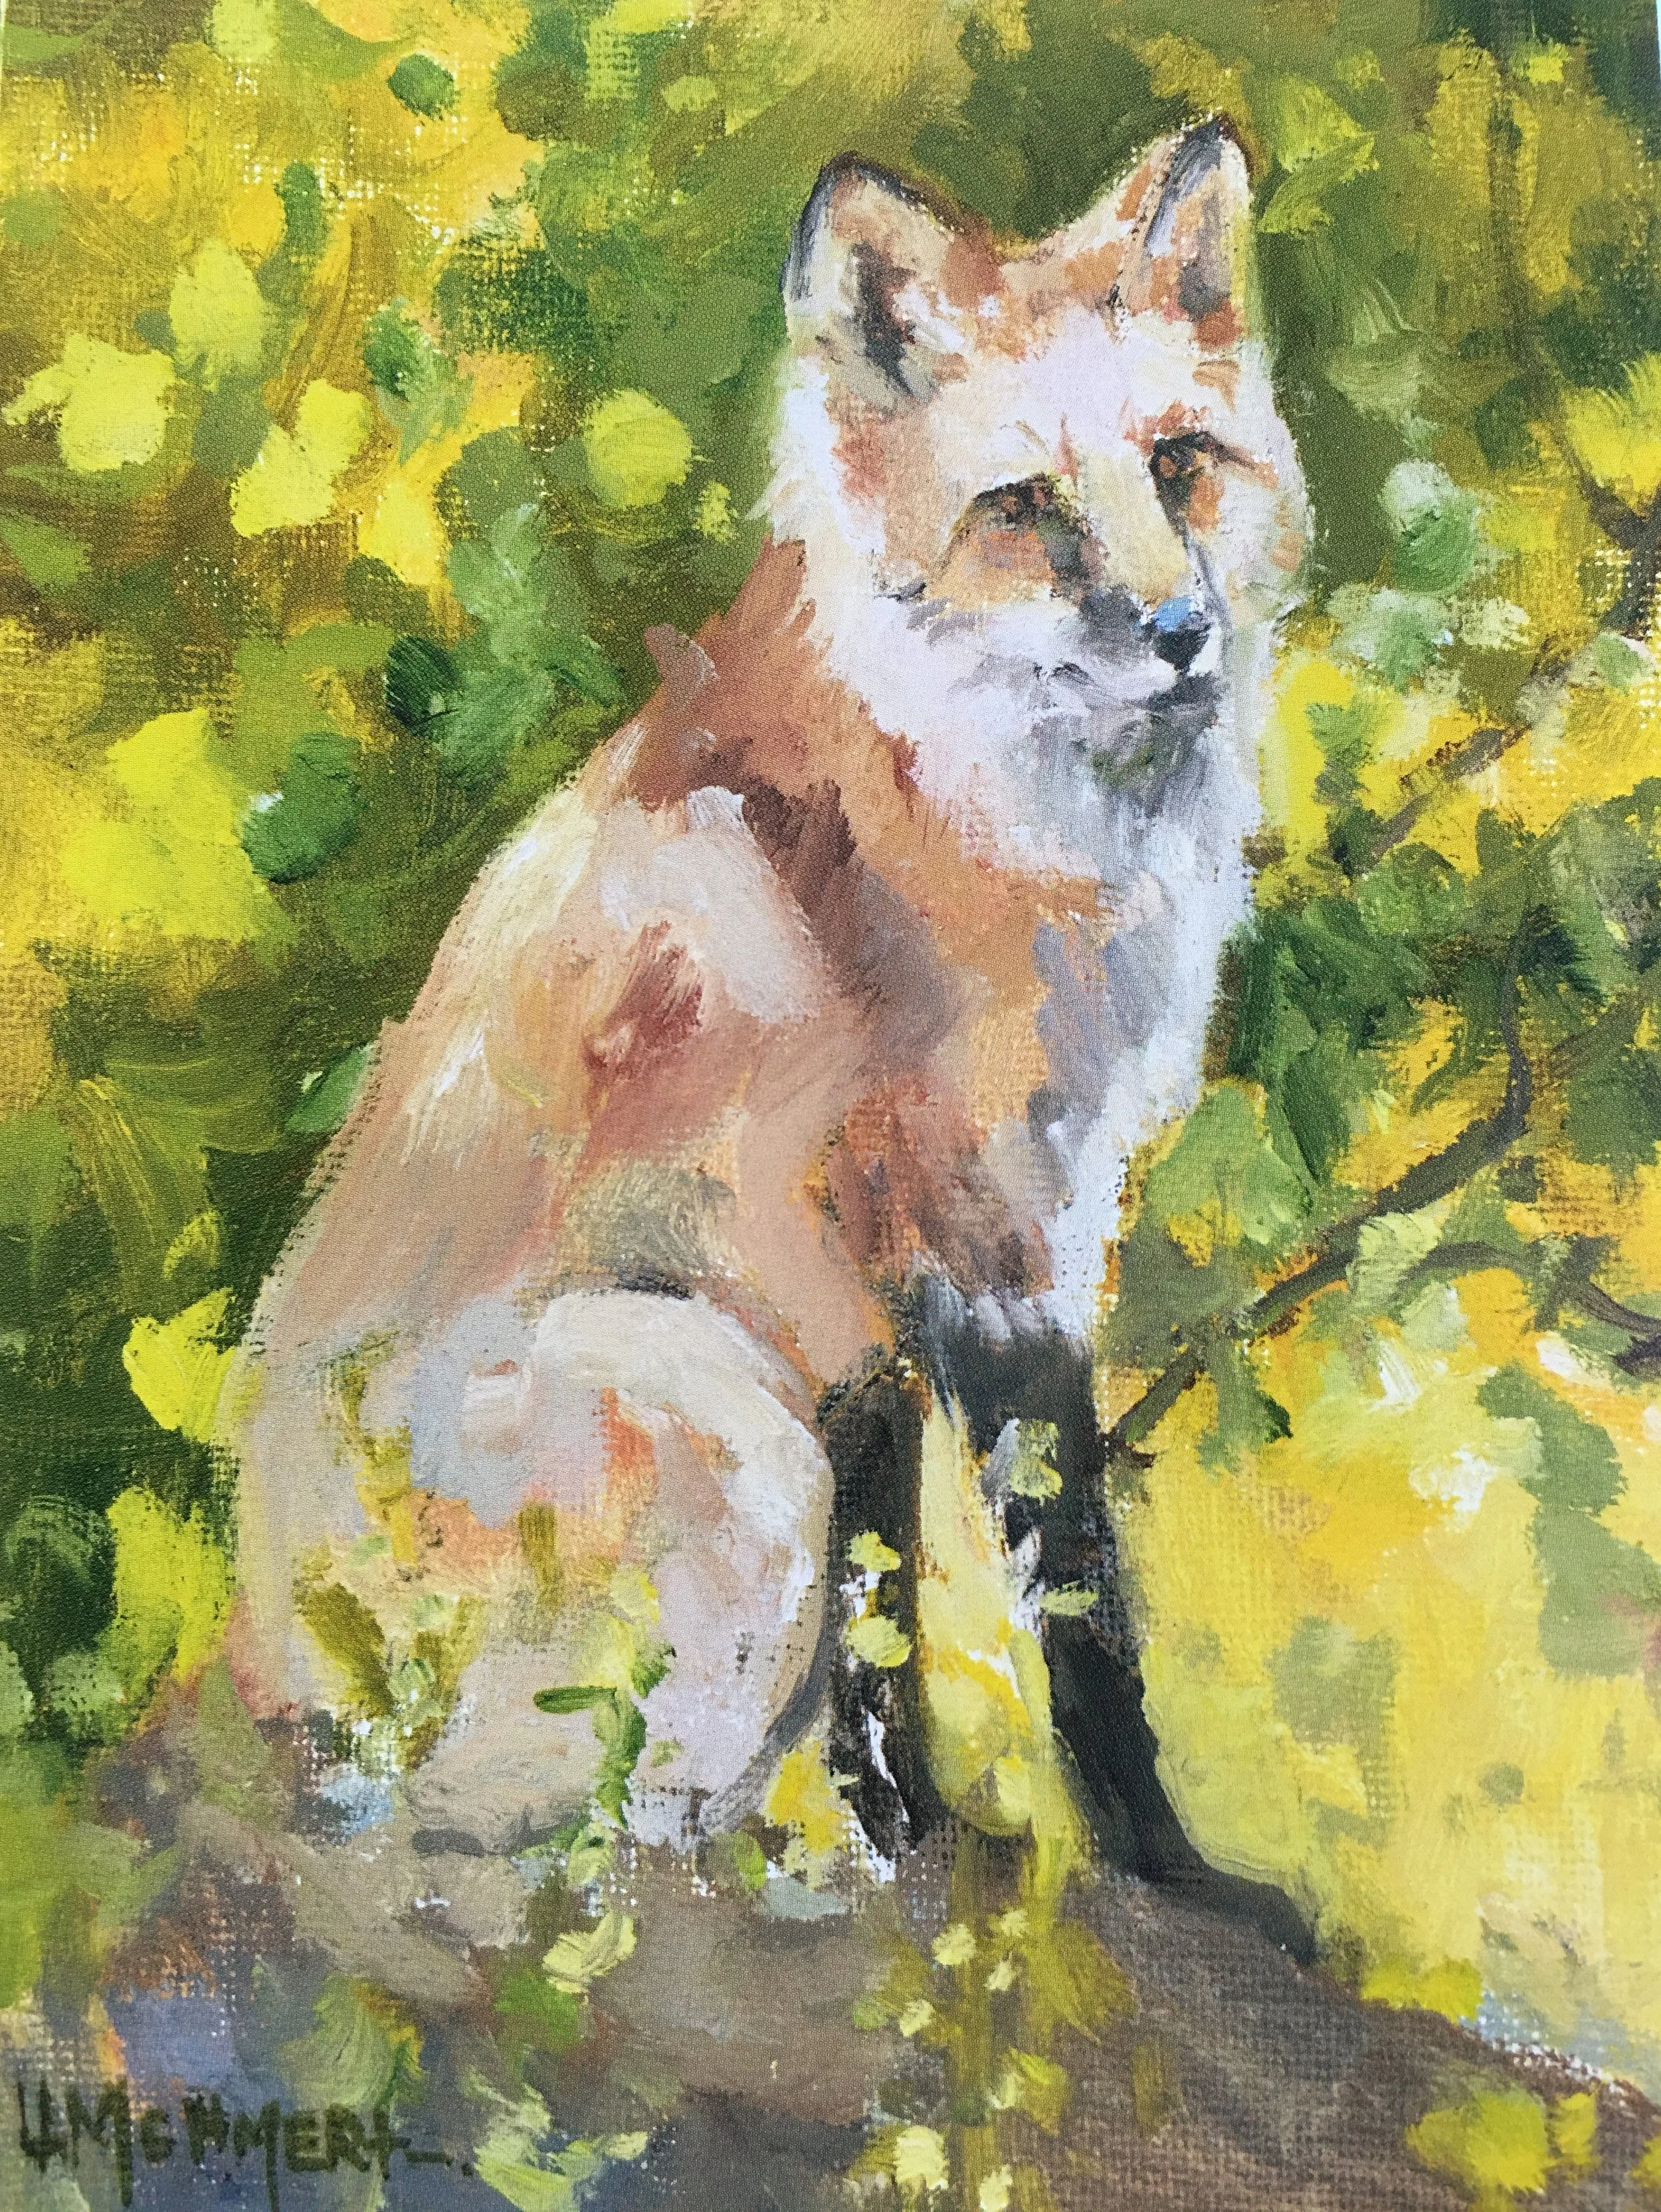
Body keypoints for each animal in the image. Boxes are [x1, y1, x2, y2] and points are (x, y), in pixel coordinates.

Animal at [228, 120, 1311, 1947]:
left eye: (1179, 465)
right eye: (1022, 511)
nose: (1181, 640)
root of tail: (274, 1701)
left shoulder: (978, 1245)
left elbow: (921, 1597)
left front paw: (923, 1830)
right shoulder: (928, 1228)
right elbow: (1056, 1584)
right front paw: (1135, 1863)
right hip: (711, 1401)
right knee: (577, 1823)